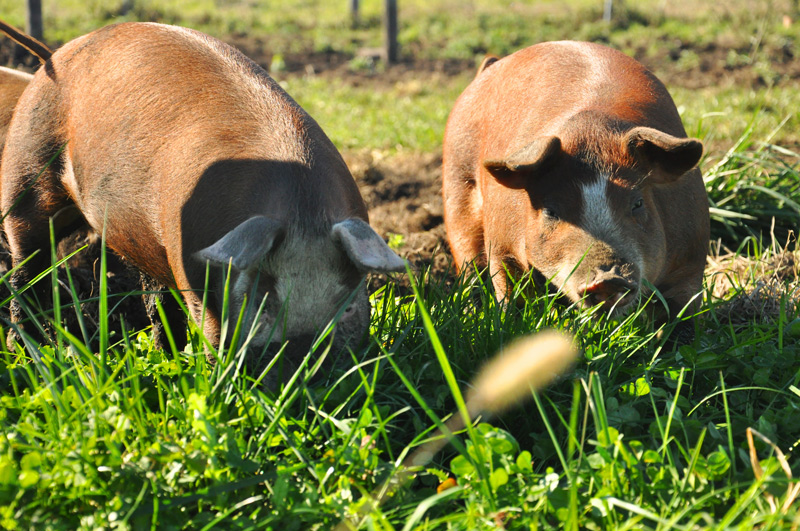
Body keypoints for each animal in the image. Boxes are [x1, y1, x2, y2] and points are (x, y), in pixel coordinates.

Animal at [0, 21, 405, 379]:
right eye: (263, 295)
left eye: (348, 304)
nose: (304, 360)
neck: (302, 210)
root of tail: (57, 53)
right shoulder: (196, 277)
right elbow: (209, 330)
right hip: (25, 178)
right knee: (26, 271)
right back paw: (25, 353)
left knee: (155, 298)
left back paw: (169, 356)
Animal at [442, 42, 709, 329]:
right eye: (551, 211)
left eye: (637, 203)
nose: (607, 279)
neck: (592, 134)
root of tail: (491, 66)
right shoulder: (502, 246)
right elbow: (511, 293)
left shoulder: (692, 256)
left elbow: (680, 313)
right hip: (457, 182)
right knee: (469, 263)